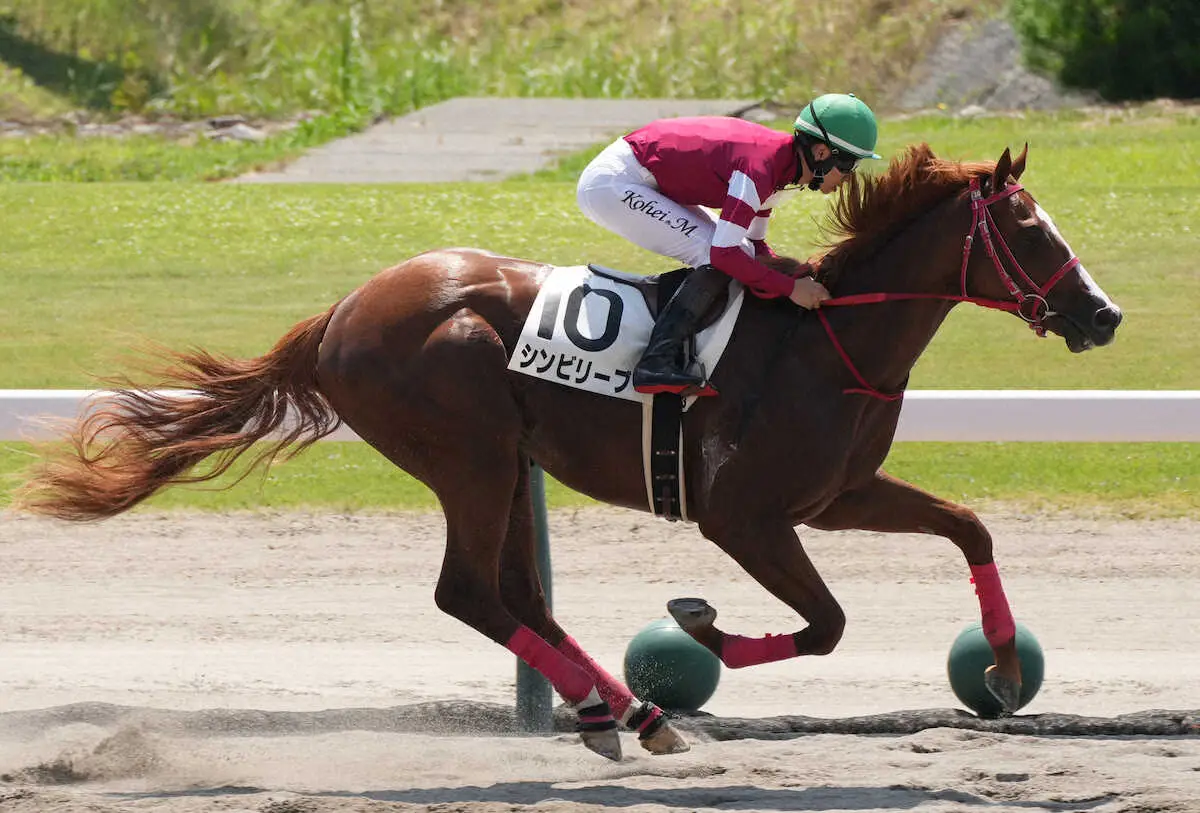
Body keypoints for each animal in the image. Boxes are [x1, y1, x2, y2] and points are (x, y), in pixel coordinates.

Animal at [14, 141, 1123, 762]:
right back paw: (635, 709)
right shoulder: (744, 516)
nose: (1102, 314)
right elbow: (828, 624)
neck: (828, 338)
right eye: (1029, 228)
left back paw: (615, 710)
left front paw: (1003, 665)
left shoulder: (837, 494)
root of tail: (342, 312)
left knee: (516, 596)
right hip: (468, 451)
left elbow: (969, 528)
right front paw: (702, 633)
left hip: (507, 461)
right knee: (470, 592)